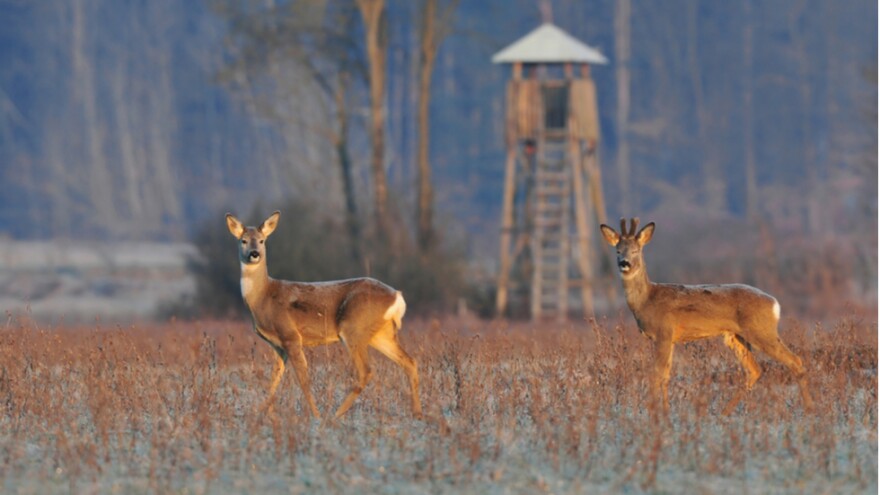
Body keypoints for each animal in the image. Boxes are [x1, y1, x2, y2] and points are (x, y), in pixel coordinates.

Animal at [225, 211, 422, 420]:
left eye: (262, 240)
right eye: (244, 240)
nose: (254, 254)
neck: (264, 297)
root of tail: (397, 297)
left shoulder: (291, 335)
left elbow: (303, 379)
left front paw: (316, 415)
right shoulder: (279, 345)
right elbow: (274, 378)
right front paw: (264, 413)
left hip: (353, 329)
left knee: (366, 371)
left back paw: (335, 414)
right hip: (381, 333)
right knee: (410, 362)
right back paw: (417, 413)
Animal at [600, 219, 816, 416]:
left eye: (636, 250)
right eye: (618, 250)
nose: (624, 263)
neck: (647, 300)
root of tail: (775, 304)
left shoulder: (664, 333)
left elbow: (656, 375)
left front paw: (654, 414)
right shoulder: (670, 339)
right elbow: (666, 376)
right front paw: (665, 412)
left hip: (762, 331)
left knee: (795, 361)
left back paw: (809, 409)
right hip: (735, 336)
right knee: (755, 370)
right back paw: (724, 412)